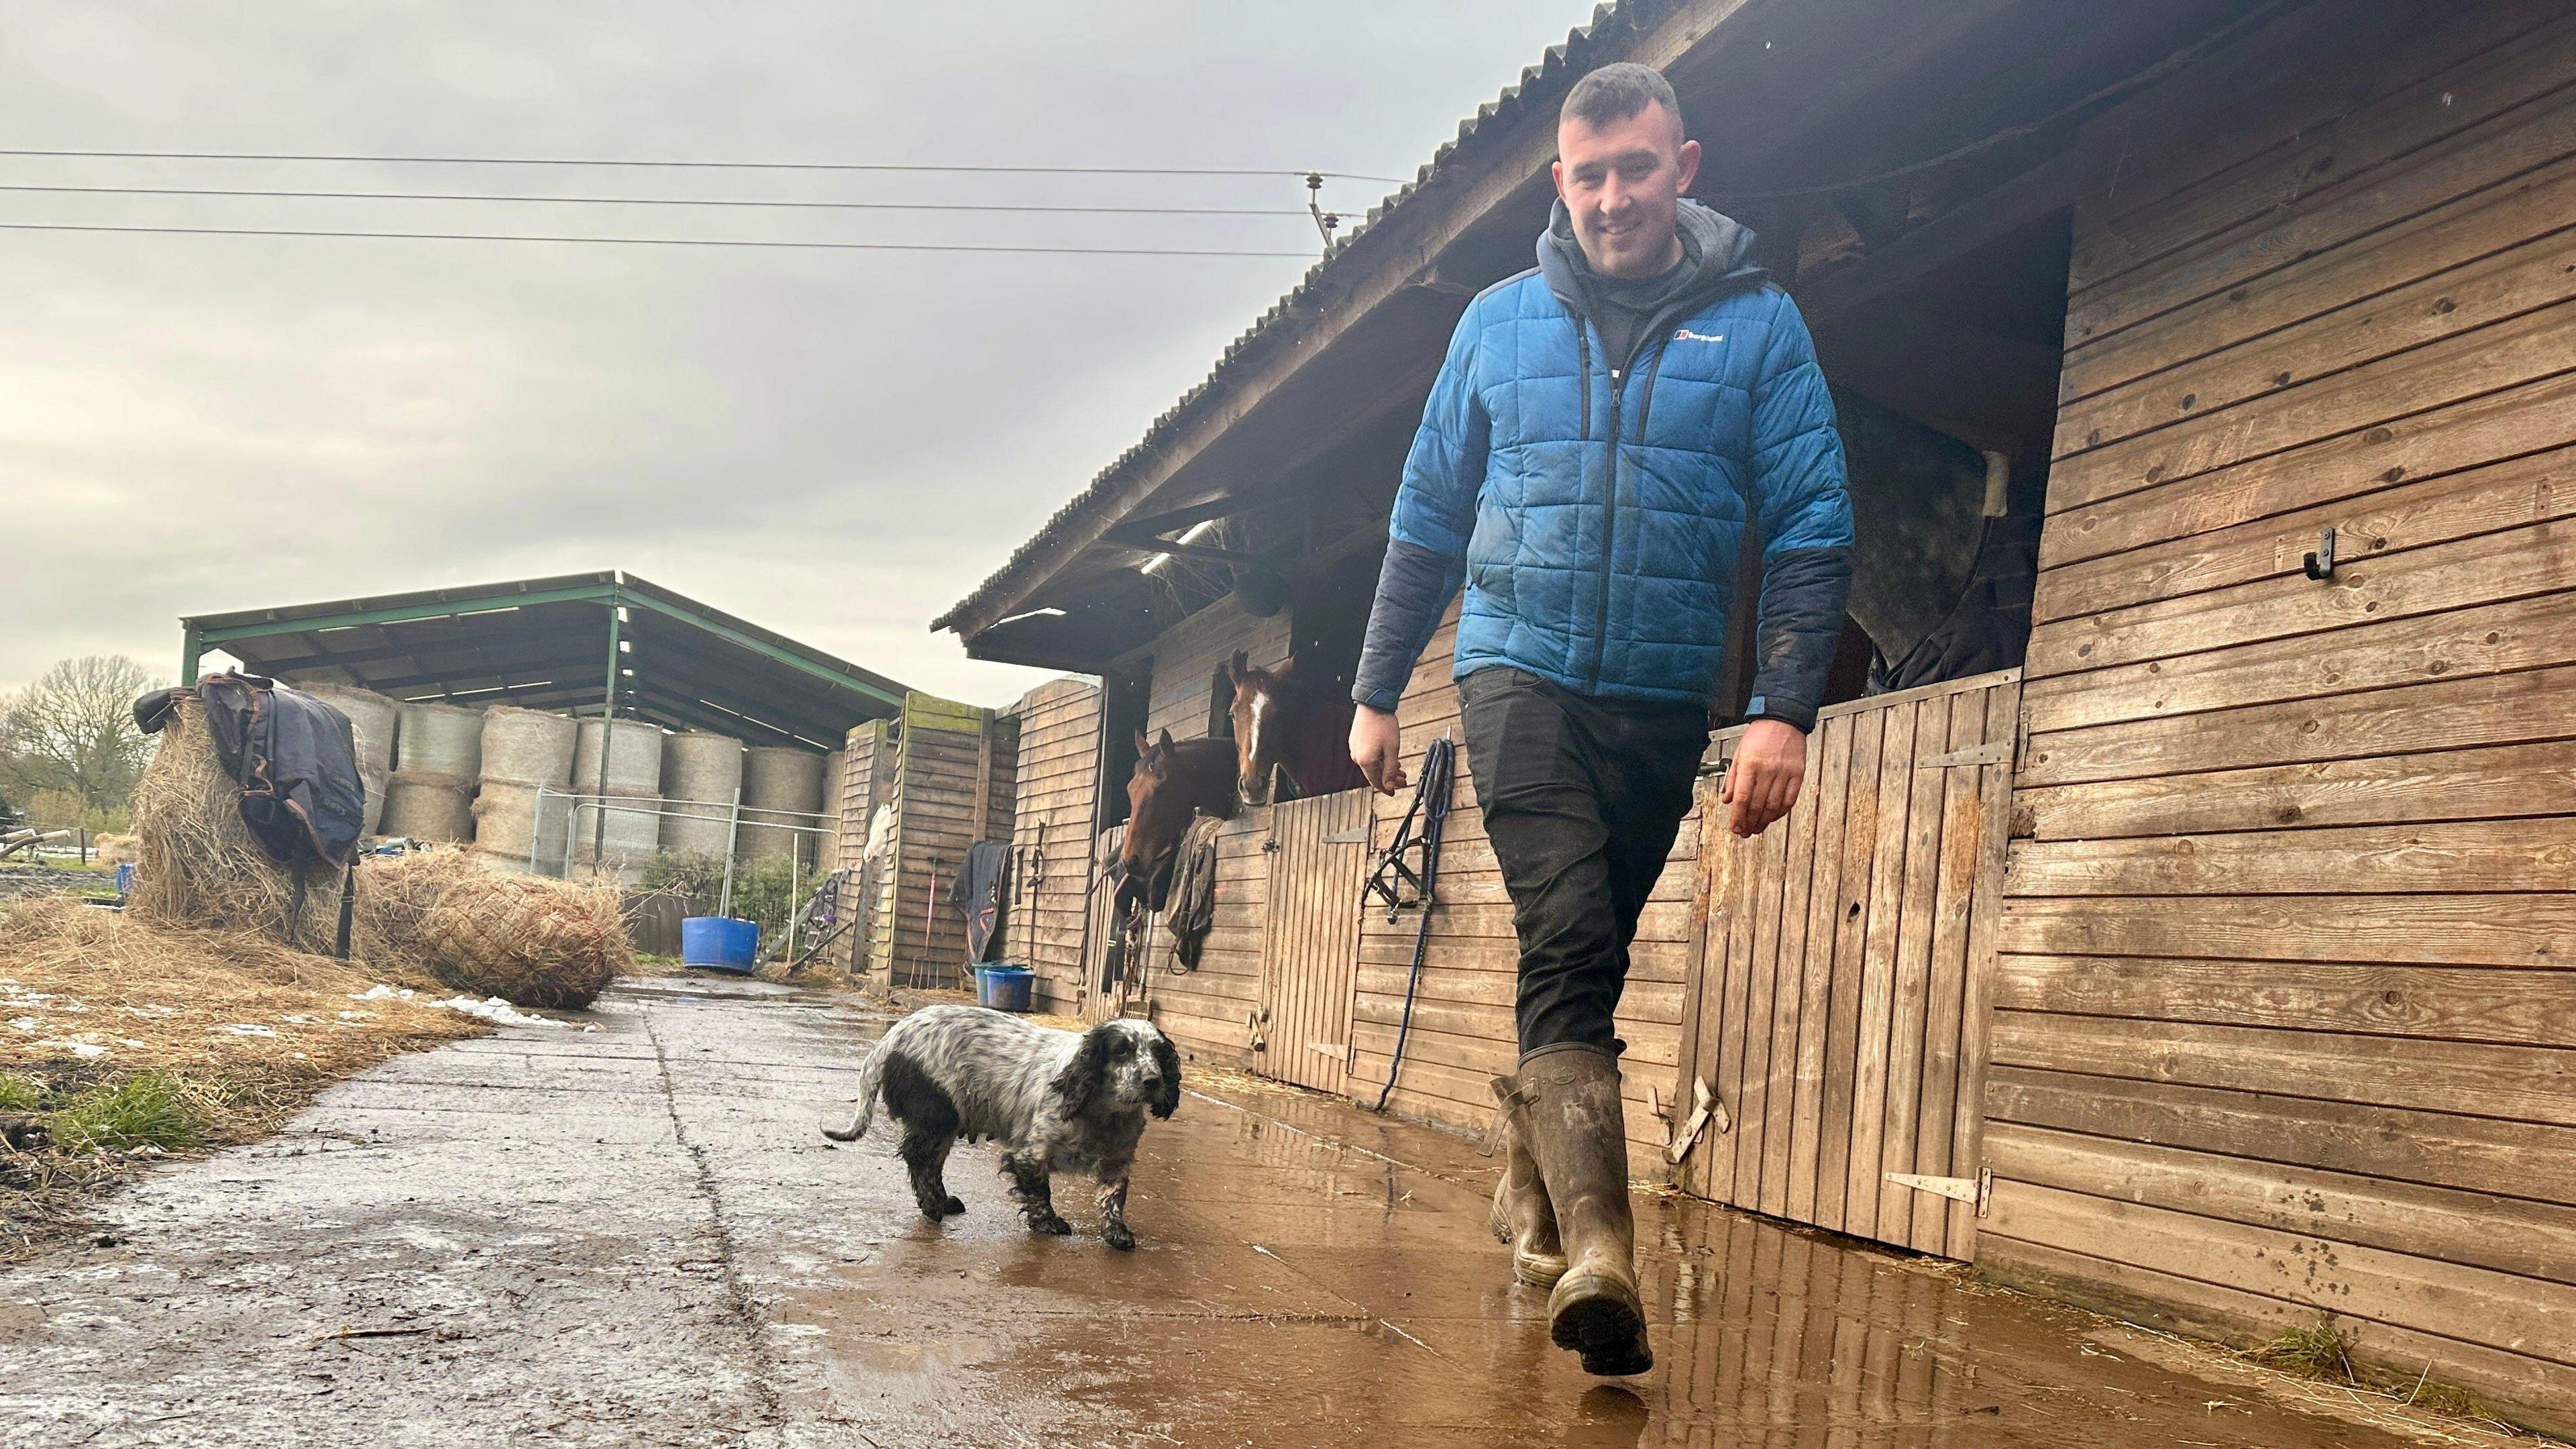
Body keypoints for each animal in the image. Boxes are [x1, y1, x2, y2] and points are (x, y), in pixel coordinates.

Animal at [824, 1005, 1185, 1242]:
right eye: (1122, 1051)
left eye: (1159, 1053)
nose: (1153, 1081)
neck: (1103, 1113)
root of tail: (893, 1035)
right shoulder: (1028, 1154)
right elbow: (1040, 1191)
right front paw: (1048, 1224)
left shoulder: (1117, 1160)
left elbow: (1114, 1198)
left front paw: (1116, 1232)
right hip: (937, 1115)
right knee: (919, 1157)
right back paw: (932, 1206)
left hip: (946, 1123)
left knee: (932, 1162)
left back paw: (944, 1201)